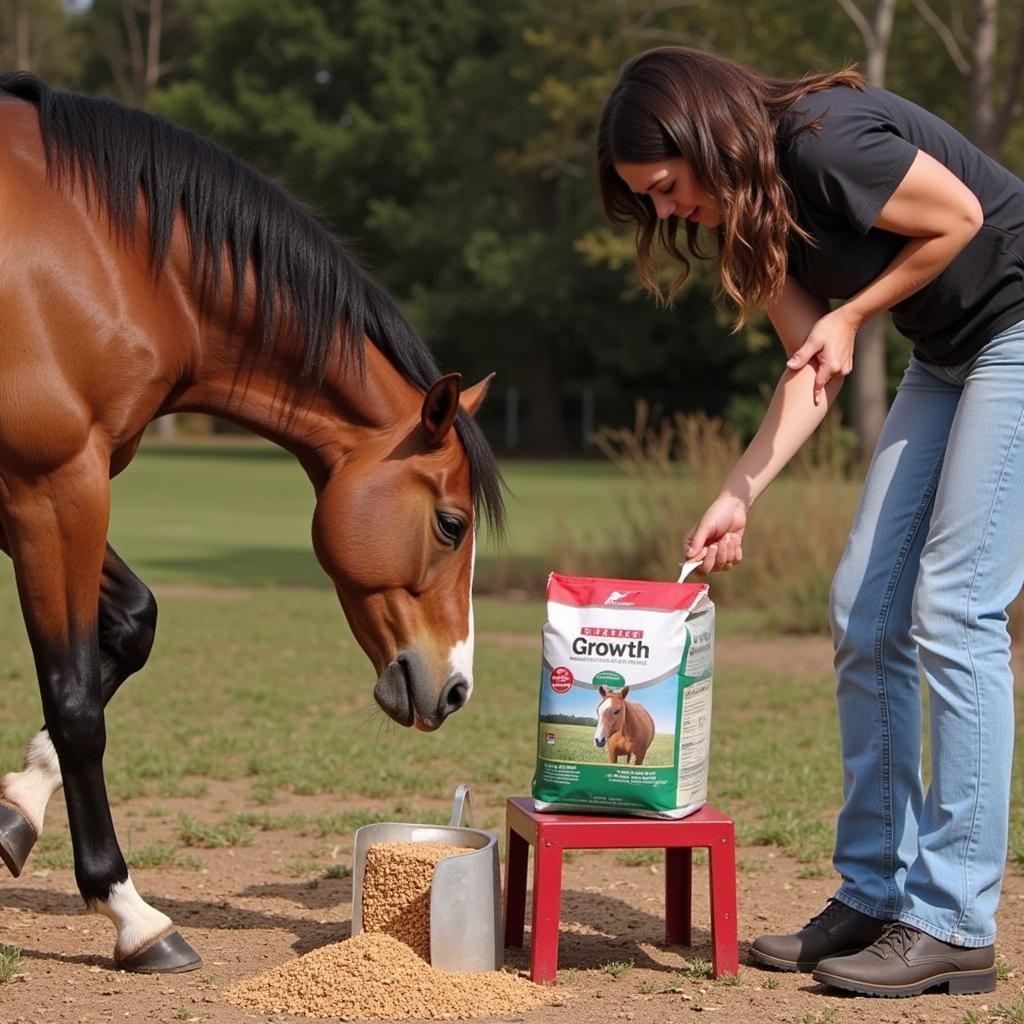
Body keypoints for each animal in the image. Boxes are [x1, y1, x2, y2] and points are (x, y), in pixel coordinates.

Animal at [0, 74, 503, 974]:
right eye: (451, 524)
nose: (456, 688)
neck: (113, 258)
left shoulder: (40, 490)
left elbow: (130, 627)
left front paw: (15, 805)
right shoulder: (51, 486)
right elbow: (76, 700)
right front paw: (131, 913)